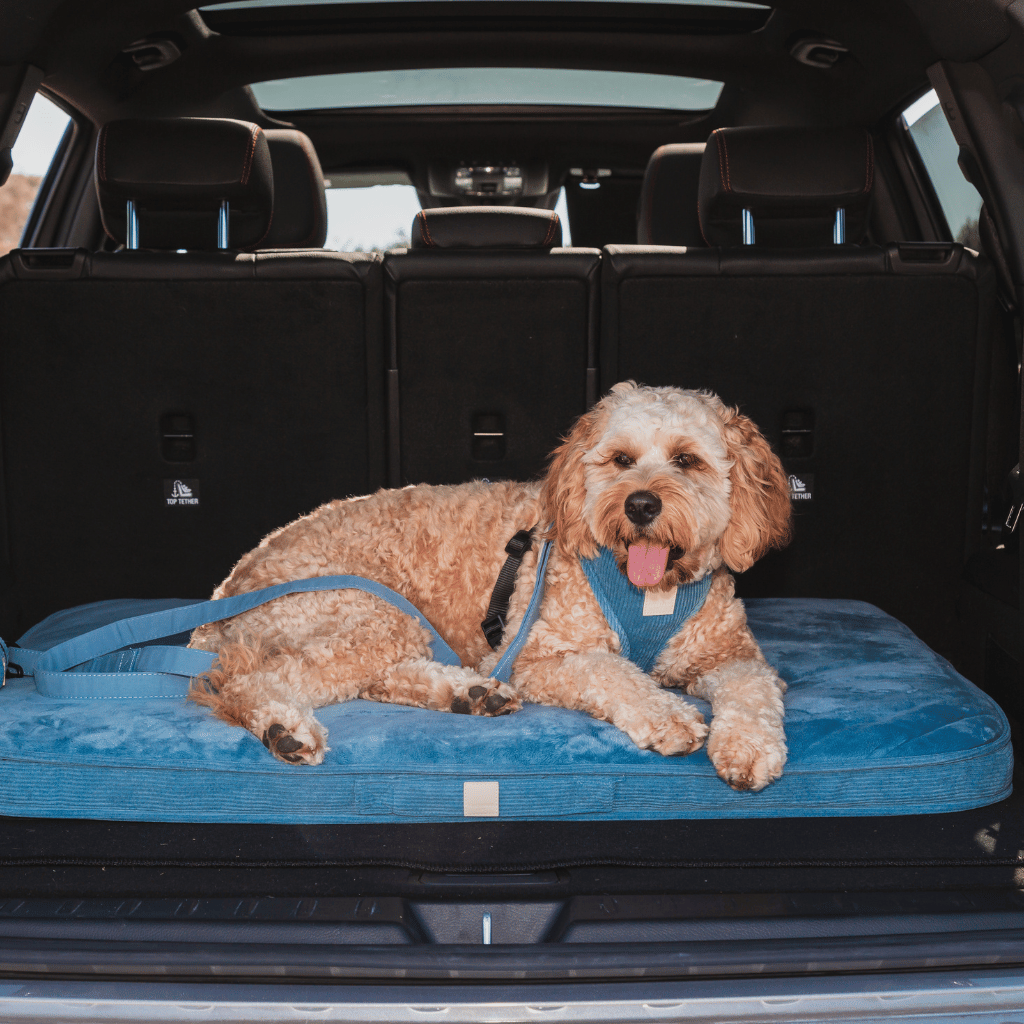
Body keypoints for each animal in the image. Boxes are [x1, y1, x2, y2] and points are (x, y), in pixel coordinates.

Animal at [190, 385, 790, 790]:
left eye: (687, 460)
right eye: (621, 459)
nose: (640, 505)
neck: (649, 590)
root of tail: (225, 591)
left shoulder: (729, 654)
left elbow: (753, 689)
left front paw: (749, 746)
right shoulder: (536, 656)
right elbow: (612, 671)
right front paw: (666, 715)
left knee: (373, 679)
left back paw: (468, 693)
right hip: (368, 612)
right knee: (248, 682)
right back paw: (282, 726)